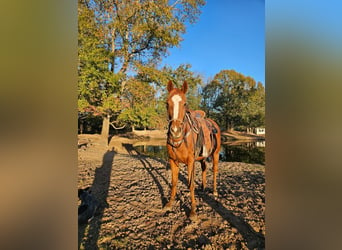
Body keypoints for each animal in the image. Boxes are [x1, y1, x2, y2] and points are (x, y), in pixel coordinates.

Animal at [164, 80, 222, 219]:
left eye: (185, 103)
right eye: (167, 103)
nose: (175, 131)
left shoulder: (190, 162)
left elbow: (191, 184)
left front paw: (193, 211)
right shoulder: (173, 161)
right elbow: (174, 182)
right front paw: (169, 203)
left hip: (216, 154)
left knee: (214, 170)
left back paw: (214, 191)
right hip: (202, 157)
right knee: (204, 168)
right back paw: (203, 187)